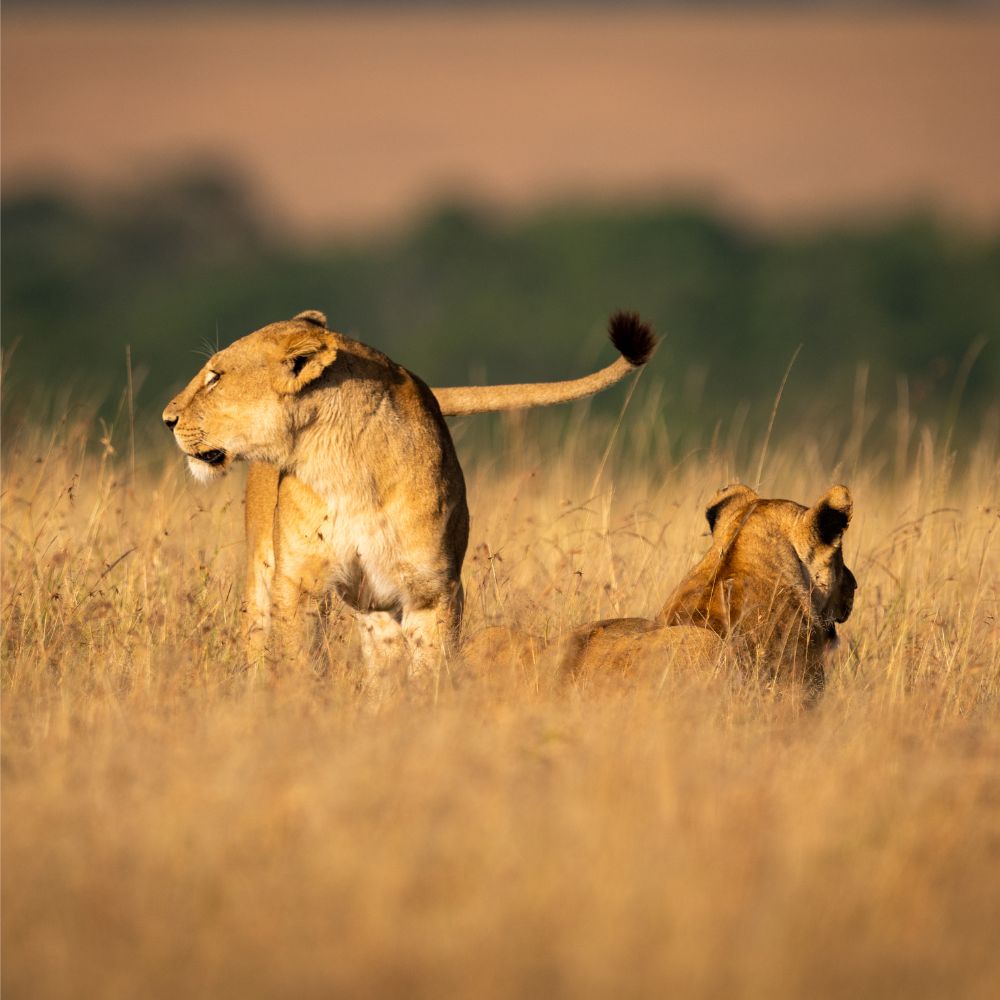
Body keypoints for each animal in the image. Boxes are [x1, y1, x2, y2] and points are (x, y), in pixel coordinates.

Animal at [162, 308, 656, 676]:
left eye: (215, 377)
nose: (166, 419)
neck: (341, 466)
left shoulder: (431, 590)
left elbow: (428, 671)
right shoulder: (299, 583)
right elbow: (295, 659)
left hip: (376, 603)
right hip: (266, 577)